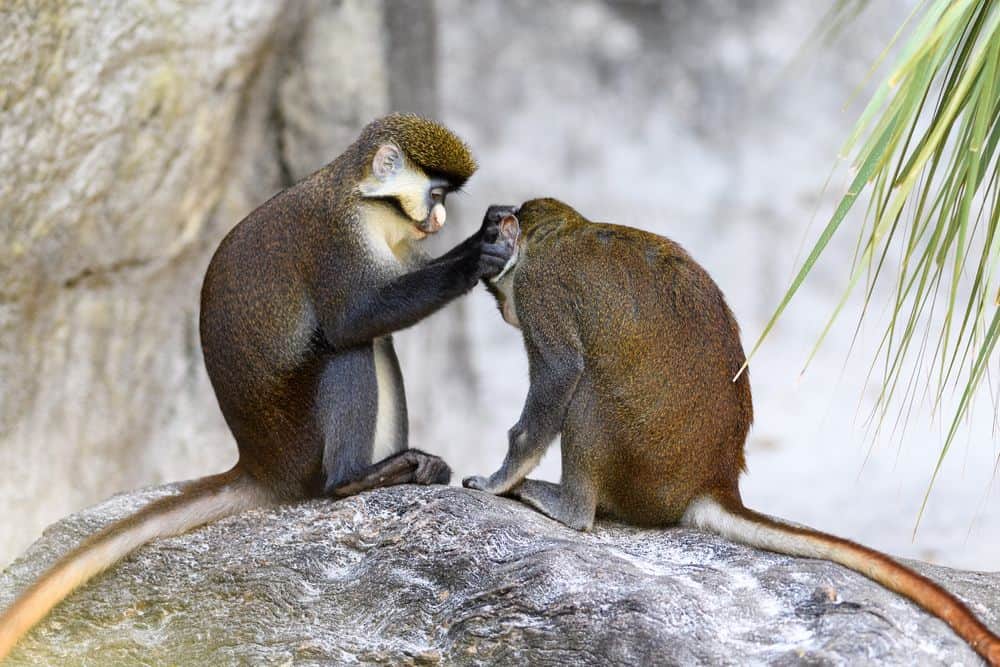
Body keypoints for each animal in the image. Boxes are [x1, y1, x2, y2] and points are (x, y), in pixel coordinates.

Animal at [0, 114, 513, 661]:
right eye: (435, 193)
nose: (439, 220)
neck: (360, 196)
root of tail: (259, 465)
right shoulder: (334, 239)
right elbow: (356, 319)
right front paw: (474, 255)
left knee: (377, 344)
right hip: (300, 442)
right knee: (348, 349)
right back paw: (353, 480)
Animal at [464, 198, 1000, 665]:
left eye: (496, 288)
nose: (504, 312)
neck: (559, 232)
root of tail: (712, 481)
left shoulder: (540, 290)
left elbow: (559, 374)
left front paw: (496, 481)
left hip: (643, 468)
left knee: (587, 390)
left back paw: (570, 508)